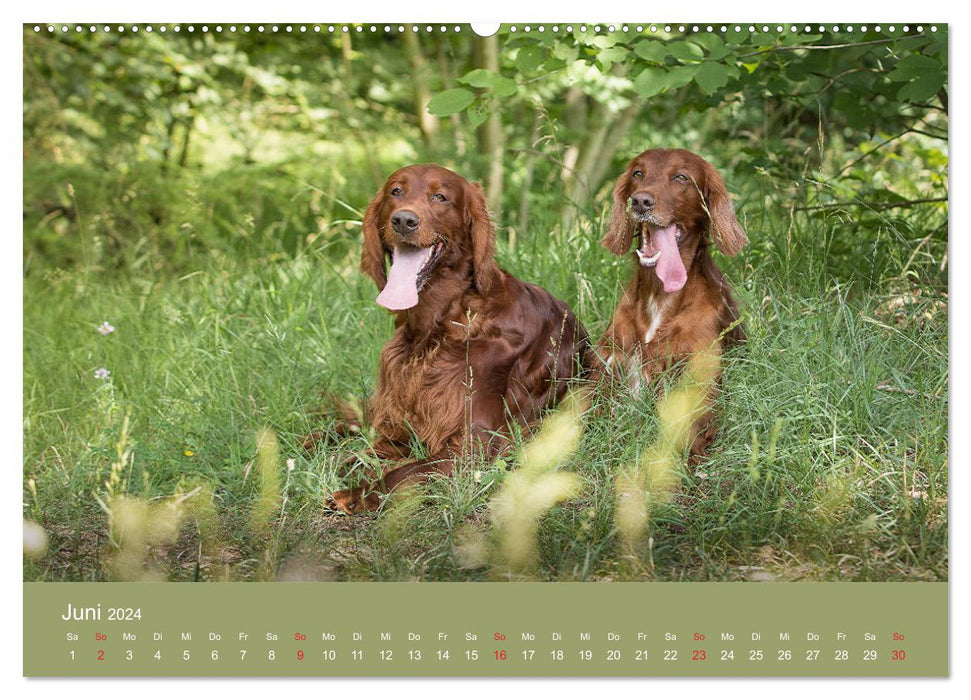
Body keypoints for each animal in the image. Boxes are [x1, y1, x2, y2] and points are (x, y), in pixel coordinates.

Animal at [326, 164, 588, 516]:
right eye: (396, 191)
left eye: (440, 197)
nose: (404, 221)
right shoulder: (397, 425)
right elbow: (361, 449)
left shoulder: (475, 444)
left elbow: (406, 471)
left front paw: (358, 492)